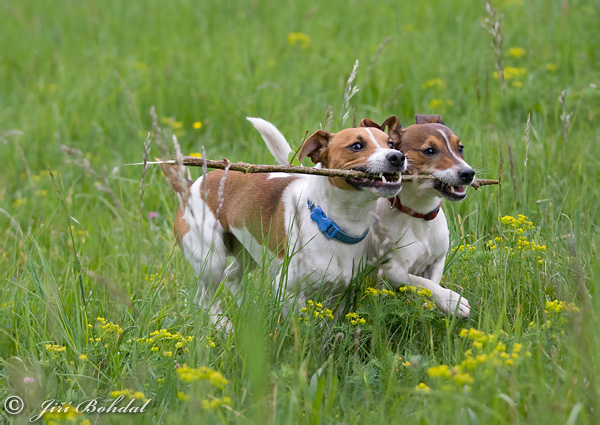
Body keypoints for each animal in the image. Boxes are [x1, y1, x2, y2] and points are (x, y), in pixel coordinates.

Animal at [162, 119, 406, 324]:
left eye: (390, 143)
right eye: (357, 146)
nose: (397, 156)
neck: (330, 222)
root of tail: (190, 186)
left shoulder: (340, 293)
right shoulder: (288, 289)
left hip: (249, 252)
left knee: (231, 276)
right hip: (211, 259)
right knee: (204, 296)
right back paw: (223, 326)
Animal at [255, 114, 476, 316]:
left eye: (460, 148)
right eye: (429, 151)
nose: (468, 173)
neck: (418, 216)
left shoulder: (437, 260)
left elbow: (431, 281)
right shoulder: (391, 270)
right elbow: (420, 282)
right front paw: (450, 300)